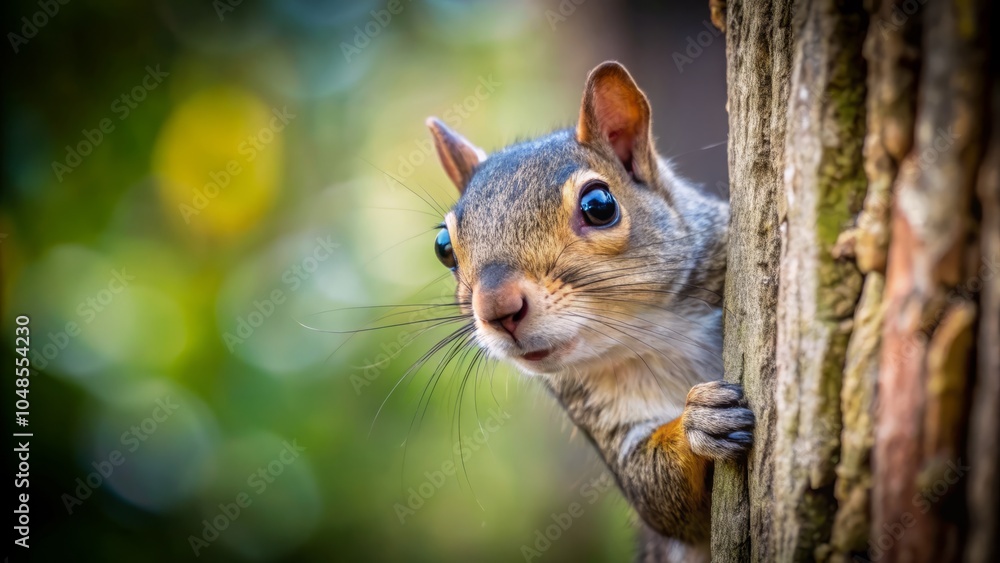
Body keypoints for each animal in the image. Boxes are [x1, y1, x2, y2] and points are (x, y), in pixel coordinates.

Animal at [422, 61, 753, 562]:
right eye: (444, 248)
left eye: (599, 206)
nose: (498, 309)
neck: (653, 331)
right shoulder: (596, 412)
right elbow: (661, 498)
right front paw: (698, 424)